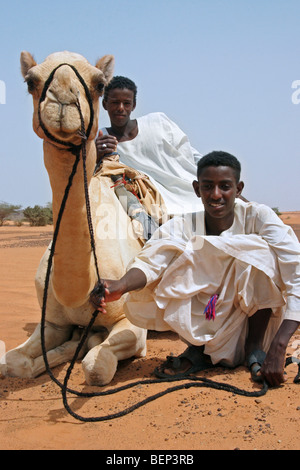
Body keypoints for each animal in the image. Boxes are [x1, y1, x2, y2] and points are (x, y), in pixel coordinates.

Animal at [0, 52, 148, 386]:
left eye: (99, 83)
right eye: (31, 81)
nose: (63, 98)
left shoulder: (130, 321)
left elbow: (96, 366)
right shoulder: (51, 323)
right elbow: (14, 362)